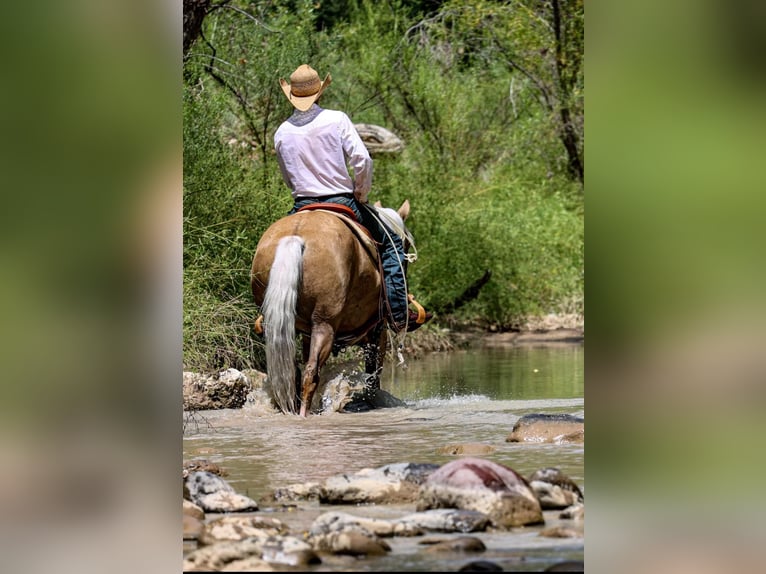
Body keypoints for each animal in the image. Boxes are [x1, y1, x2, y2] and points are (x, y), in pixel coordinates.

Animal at [250, 199, 414, 418]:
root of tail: (295, 236)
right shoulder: (377, 332)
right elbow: (373, 380)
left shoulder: (307, 335)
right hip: (324, 324)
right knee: (311, 373)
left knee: (292, 374)